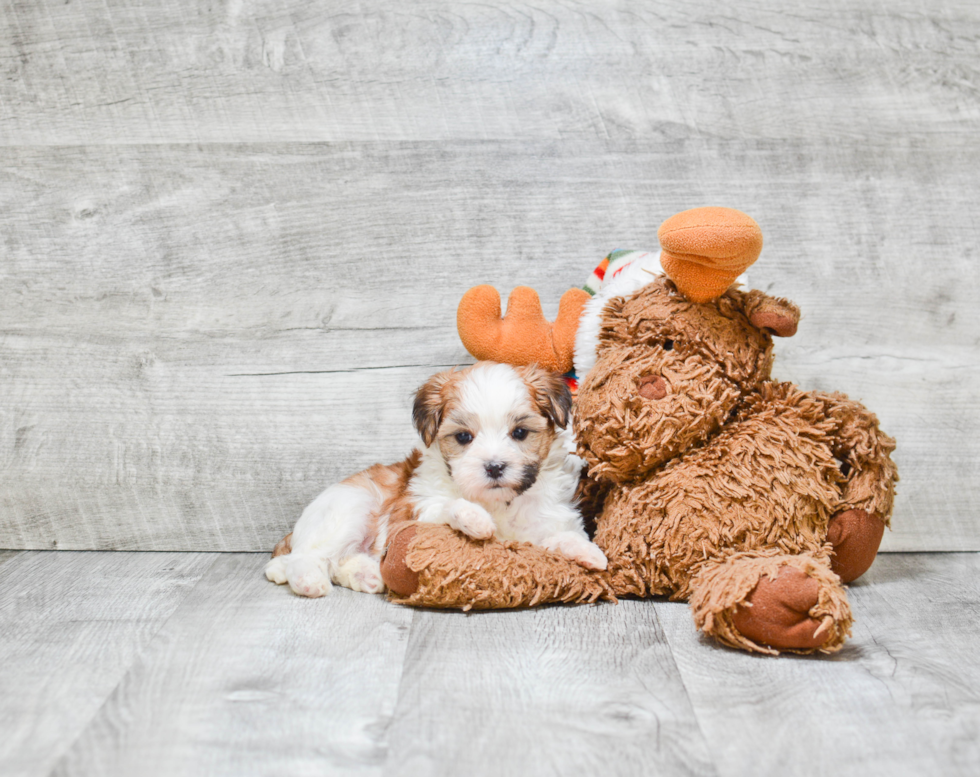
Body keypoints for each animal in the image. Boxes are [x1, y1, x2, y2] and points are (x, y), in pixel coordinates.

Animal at [264, 360, 608, 596]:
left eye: (520, 433)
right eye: (464, 437)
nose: (494, 467)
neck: (498, 503)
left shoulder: (540, 523)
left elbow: (555, 536)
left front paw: (586, 551)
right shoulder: (415, 510)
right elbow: (448, 506)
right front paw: (475, 519)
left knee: (337, 561)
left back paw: (368, 575)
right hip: (351, 506)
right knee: (308, 555)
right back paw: (308, 580)